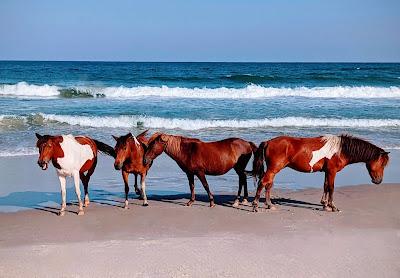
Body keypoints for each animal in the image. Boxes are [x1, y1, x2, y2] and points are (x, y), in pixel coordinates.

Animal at [252, 134, 390, 212]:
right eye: (382, 163)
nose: (378, 181)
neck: (340, 150)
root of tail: (268, 142)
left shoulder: (327, 171)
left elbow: (325, 186)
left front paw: (324, 204)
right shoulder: (332, 171)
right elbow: (331, 187)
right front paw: (332, 206)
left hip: (273, 170)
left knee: (268, 184)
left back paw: (269, 205)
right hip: (273, 169)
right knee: (263, 182)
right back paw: (255, 205)